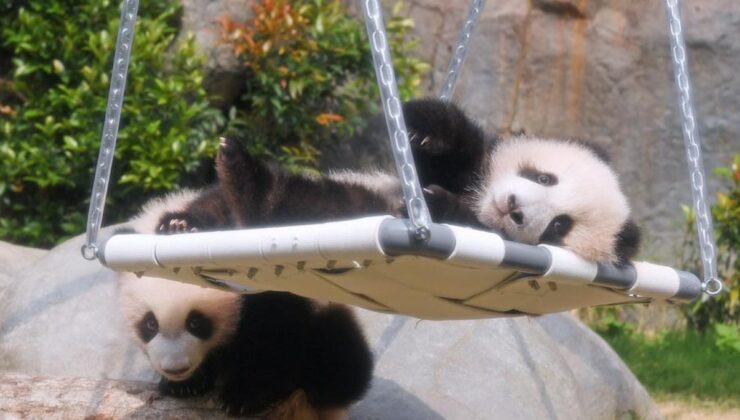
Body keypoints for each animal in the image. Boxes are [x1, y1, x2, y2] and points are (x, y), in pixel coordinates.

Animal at [119, 195, 374, 418]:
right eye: (150, 324)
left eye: (196, 322)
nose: (176, 368)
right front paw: (184, 384)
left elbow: (277, 339)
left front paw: (245, 395)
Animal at [158, 99, 639, 265]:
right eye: (543, 176)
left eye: (559, 227)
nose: (515, 209)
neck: (479, 197)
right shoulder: (473, 167)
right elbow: (455, 150)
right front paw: (428, 129)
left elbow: (465, 219)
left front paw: (439, 205)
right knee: (213, 205)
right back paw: (183, 222)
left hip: (337, 205)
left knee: (296, 201)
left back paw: (248, 184)